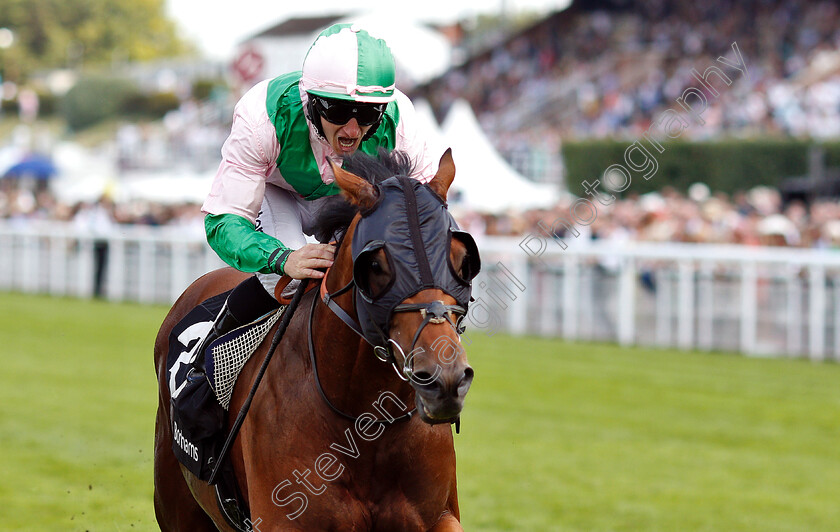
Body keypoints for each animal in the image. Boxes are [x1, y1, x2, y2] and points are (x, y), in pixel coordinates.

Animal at [153, 150, 480, 532]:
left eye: (462, 259)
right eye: (375, 265)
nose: (445, 380)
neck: (365, 423)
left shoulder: (439, 517)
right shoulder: (283, 519)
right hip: (176, 504)